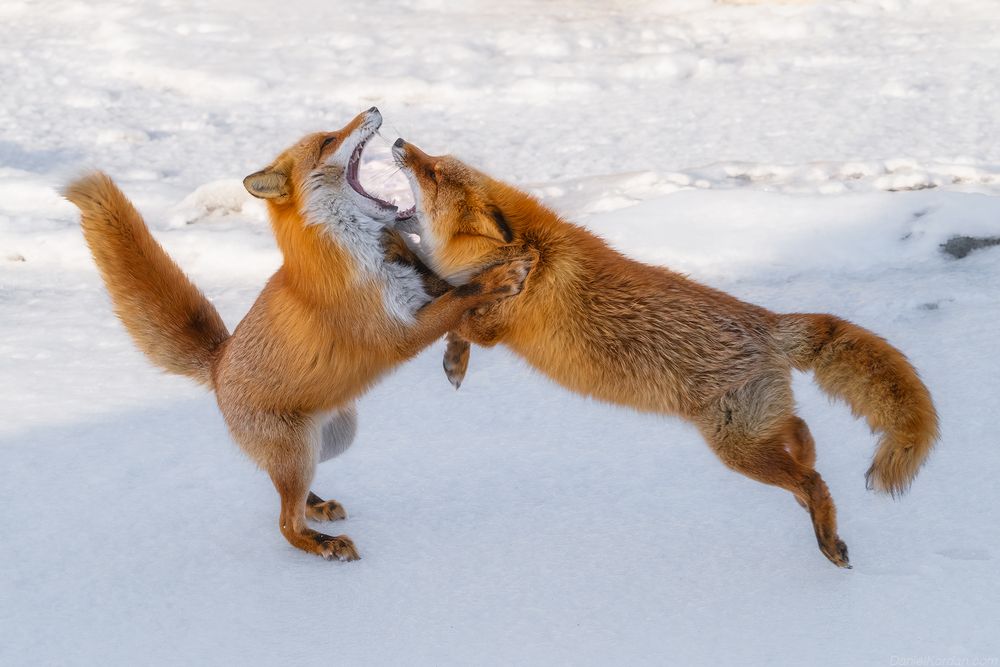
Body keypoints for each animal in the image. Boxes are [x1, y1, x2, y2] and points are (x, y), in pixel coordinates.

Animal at [62, 108, 533, 561]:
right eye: (328, 141)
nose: (372, 107)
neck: (362, 252)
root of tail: (217, 361)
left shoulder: (419, 286)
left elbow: (455, 305)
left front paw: (458, 358)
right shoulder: (398, 332)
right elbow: (460, 299)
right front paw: (499, 278)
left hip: (332, 441)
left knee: (283, 492)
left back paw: (316, 506)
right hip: (298, 452)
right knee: (285, 525)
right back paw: (323, 543)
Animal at [389, 137, 939, 568]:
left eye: (432, 172)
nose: (398, 141)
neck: (526, 251)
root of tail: (768, 324)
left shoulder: (498, 323)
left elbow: (455, 316)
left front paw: (449, 344)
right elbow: (453, 311)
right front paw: (453, 356)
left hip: (735, 450)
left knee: (814, 480)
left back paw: (828, 538)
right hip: (751, 432)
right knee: (802, 436)